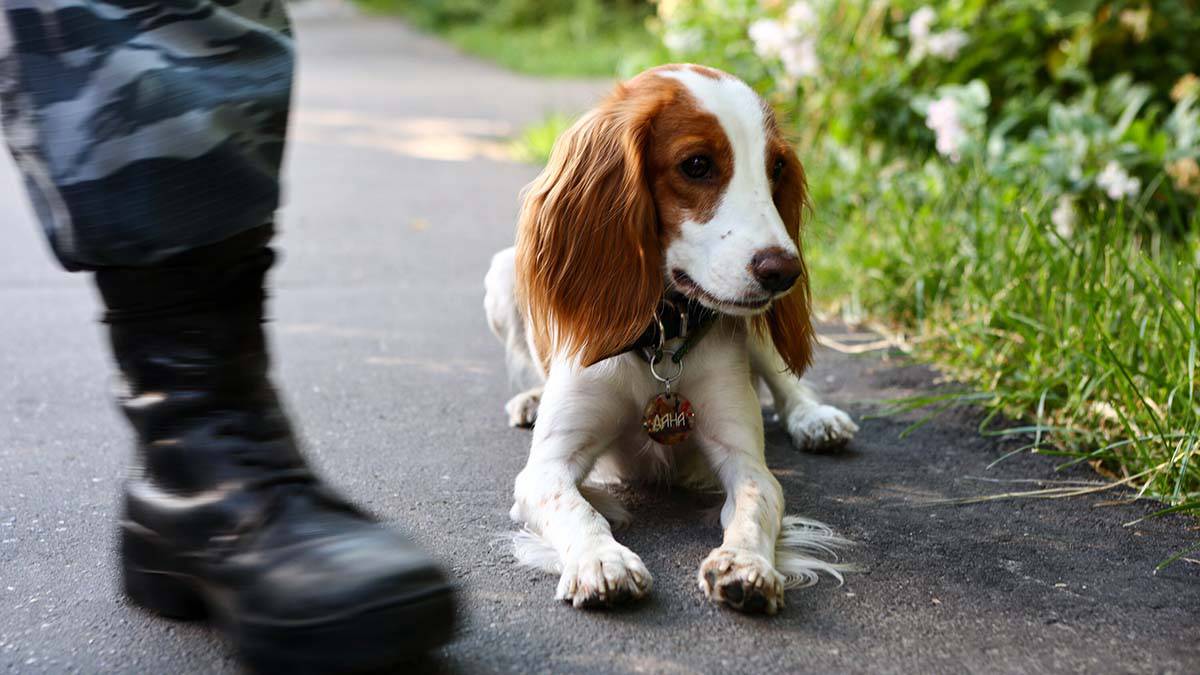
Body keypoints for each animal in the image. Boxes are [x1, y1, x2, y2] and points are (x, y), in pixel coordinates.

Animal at [482, 64, 859, 614]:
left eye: (776, 169)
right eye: (697, 165)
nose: (785, 272)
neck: (660, 338)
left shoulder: (744, 457)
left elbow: (757, 502)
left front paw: (747, 564)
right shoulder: (546, 469)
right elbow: (578, 509)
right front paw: (602, 561)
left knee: (787, 381)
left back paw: (815, 418)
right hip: (504, 271)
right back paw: (531, 398)